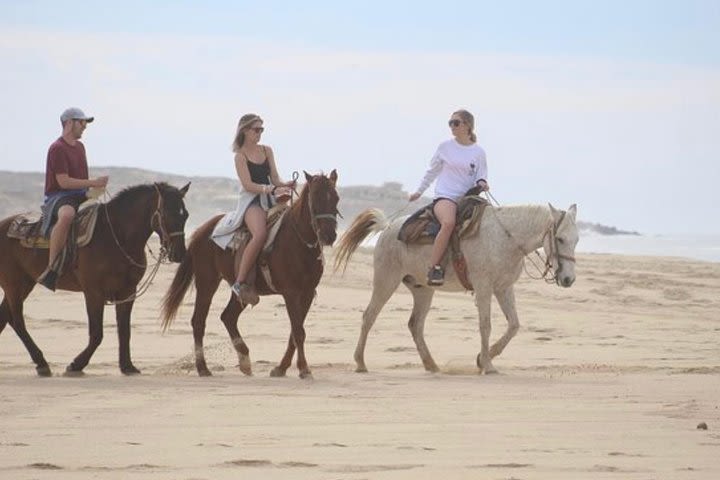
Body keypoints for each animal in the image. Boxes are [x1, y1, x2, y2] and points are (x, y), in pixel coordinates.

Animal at [0, 182, 190, 376]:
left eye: (185, 215)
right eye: (166, 213)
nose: (179, 253)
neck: (117, 236)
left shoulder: (128, 291)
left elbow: (124, 330)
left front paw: (127, 366)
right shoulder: (94, 292)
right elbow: (97, 333)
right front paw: (77, 364)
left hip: (24, 283)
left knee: (6, 317)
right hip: (13, 284)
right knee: (17, 321)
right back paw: (41, 362)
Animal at [162, 172, 340, 378]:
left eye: (336, 198)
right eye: (315, 198)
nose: (329, 236)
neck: (299, 242)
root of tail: (201, 231)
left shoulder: (307, 293)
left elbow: (295, 332)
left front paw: (281, 368)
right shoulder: (291, 293)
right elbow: (298, 332)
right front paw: (303, 369)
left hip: (242, 290)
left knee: (228, 317)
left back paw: (244, 360)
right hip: (207, 282)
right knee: (199, 321)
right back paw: (203, 368)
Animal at [336, 202, 580, 376]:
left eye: (576, 240)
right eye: (560, 239)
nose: (568, 279)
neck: (505, 238)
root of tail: (387, 227)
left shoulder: (504, 288)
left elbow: (514, 325)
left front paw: (482, 359)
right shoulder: (484, 288)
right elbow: (485, 325)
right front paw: (488, 365)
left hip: (423, 290)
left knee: (415, 324)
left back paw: (431, 365)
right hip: (386, 281)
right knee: (369, 316)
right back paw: (360, 363)